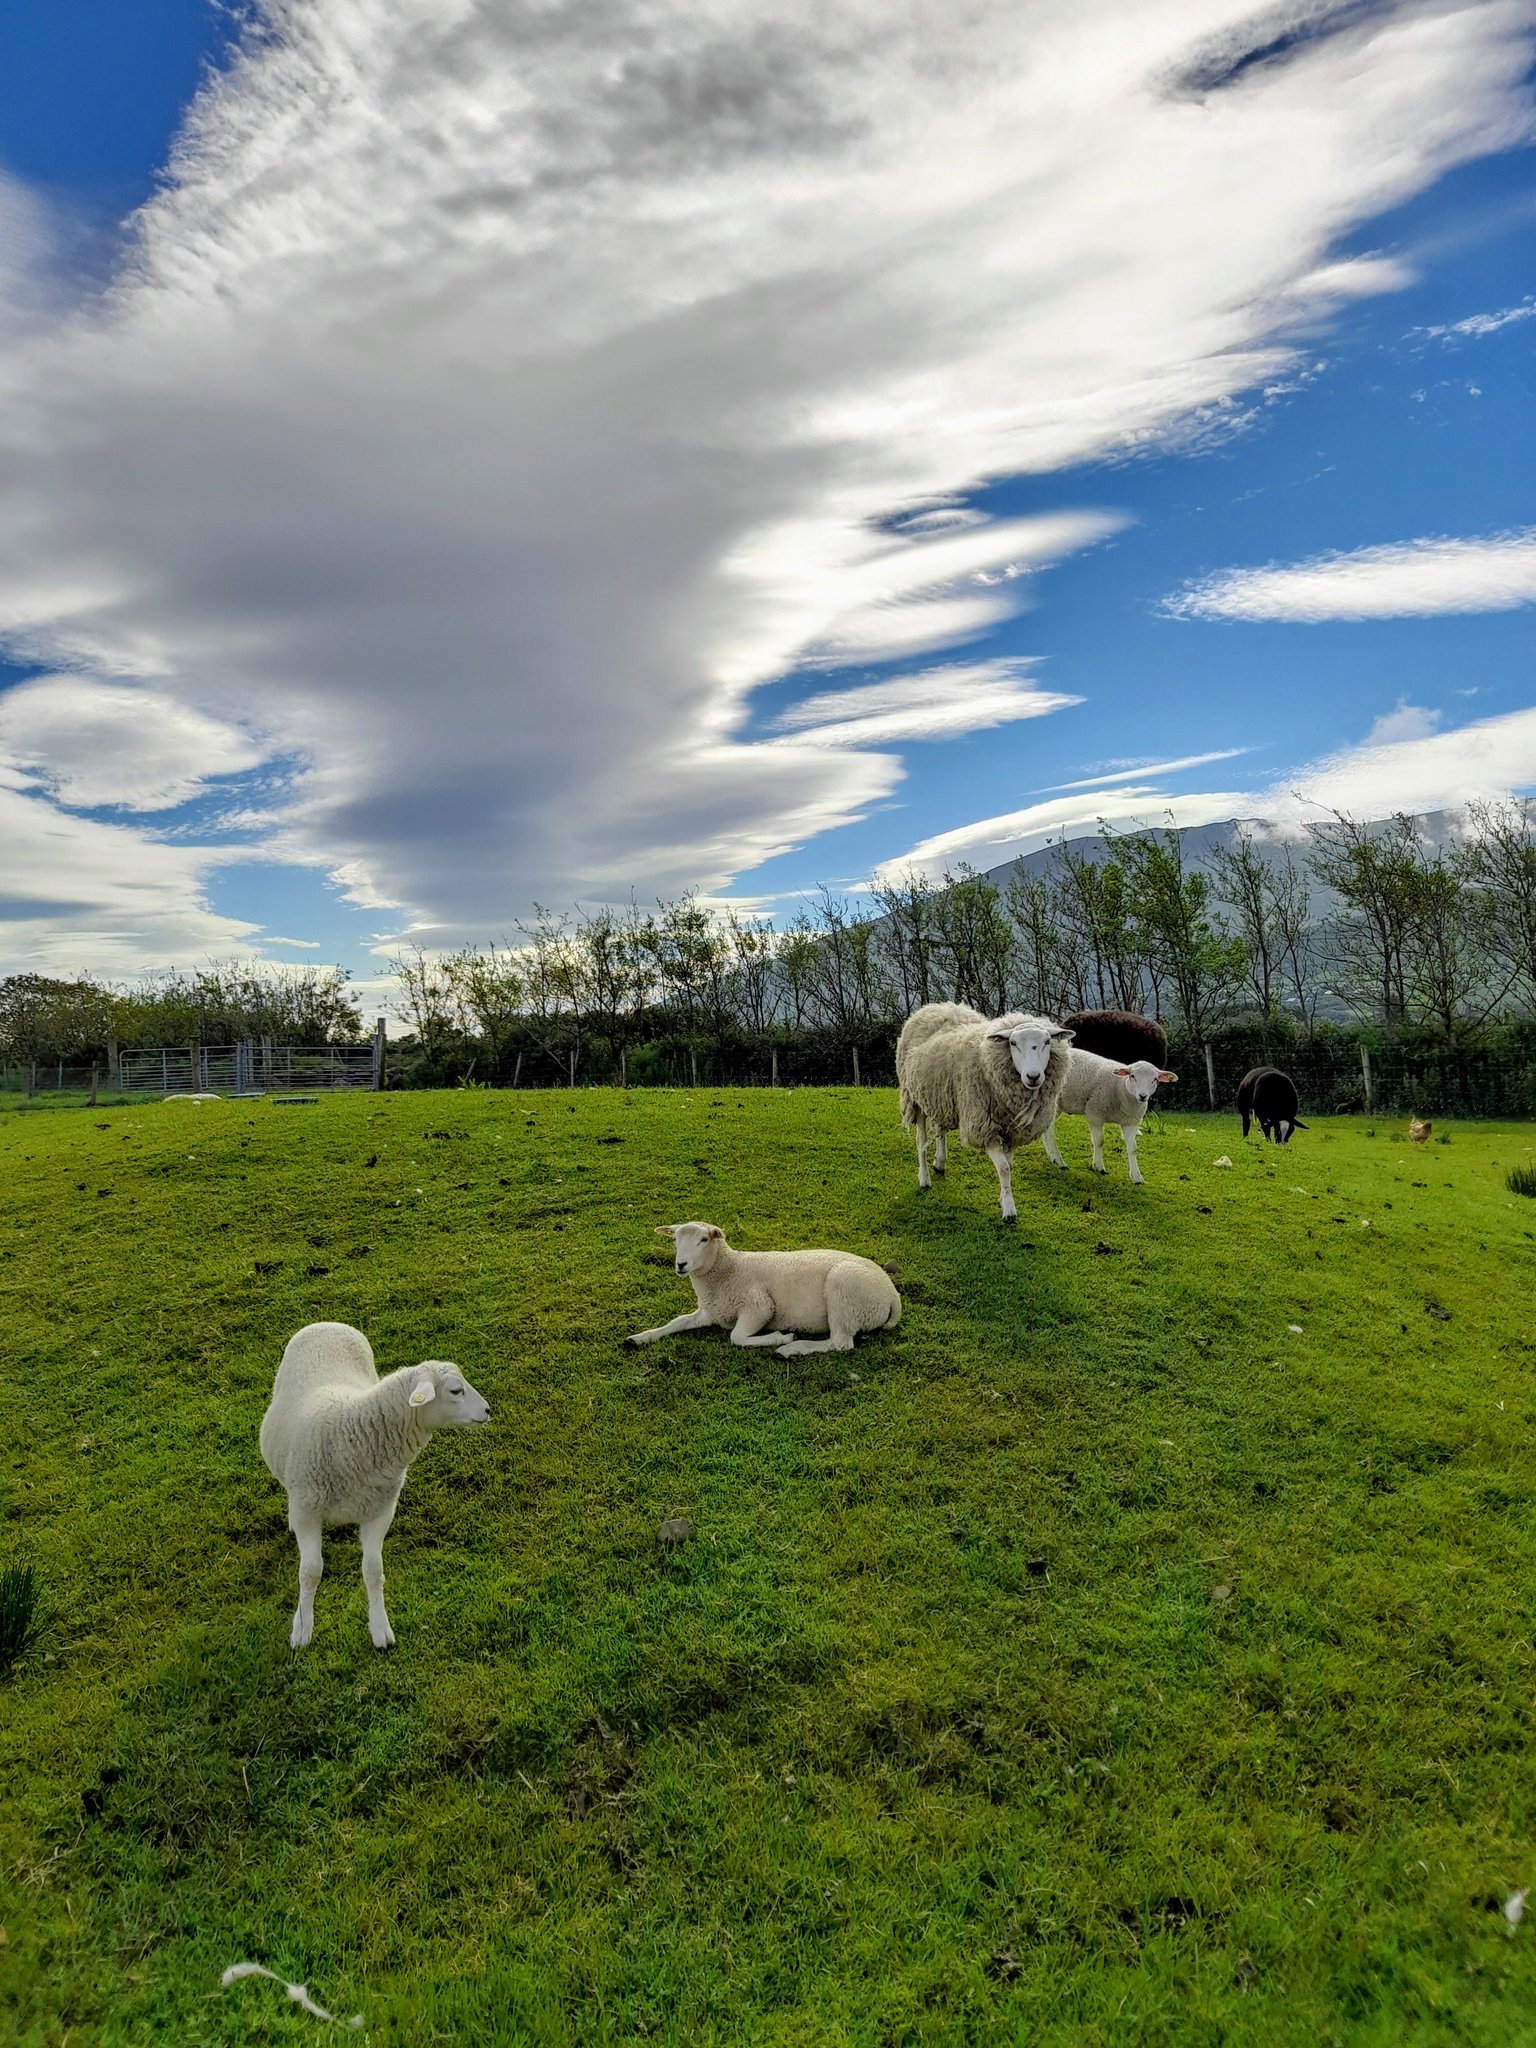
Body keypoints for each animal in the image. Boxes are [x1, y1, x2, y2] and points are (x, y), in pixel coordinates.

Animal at [257, 1327, 487, 1646]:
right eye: (455, 1391)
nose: (488, 1410)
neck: (351, 1435)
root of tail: (328, 1323)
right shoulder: (306, 1513)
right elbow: (310, 1572)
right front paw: (302, 1627)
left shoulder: (380, 1511)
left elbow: (373, 1570)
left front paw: (380, 1628)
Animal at [630, 1220, 909, 1368]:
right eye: (675, 1240)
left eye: (704, 1240)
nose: (681, 1265)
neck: (729, 1270)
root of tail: (892, 1296)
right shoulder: (711, 1311)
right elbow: (677, 1322)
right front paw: (639, 1337)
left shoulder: (759, 1306)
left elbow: (736, 1337)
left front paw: (780, 1337)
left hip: (846, 1294)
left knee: (840, 1343)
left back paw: (792, 1348)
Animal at [897, 1003, 1073, 1220]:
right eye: (1013, 1043)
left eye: (1047, 1041)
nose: (1033, 1076)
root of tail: (940, 1006)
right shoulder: (985, 1128)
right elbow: (1004, 1168)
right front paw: (1009, 1210)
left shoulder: (1012, 1132)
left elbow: (1008, 1166)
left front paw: (1003, 1198)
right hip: (915, 1097)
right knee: (920, 1140)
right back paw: (924, 1178)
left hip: (941, 1098)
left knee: (940, 1129)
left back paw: (940, 1162)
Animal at [1040, 1056, 1187, 1187]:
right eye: (1132, 1076)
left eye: (1155, 1079)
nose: (1143, 1096)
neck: (1122, 1090)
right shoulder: (1095, 1113)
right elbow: (1099, 1141)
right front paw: (1098, 1166)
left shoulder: (1131, 1123)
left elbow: (1133, 1148)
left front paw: (1137, 1177)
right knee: (1049, 1130)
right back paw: (1059, 1161)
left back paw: (1053, 1157)